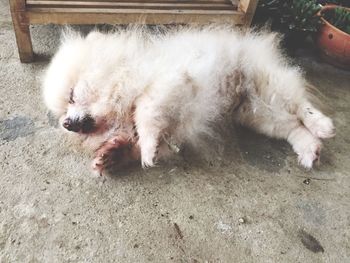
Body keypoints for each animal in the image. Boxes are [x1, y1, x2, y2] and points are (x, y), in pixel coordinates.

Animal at [42, 26, 334, 173]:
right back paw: (310, 150)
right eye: (61, 114)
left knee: (301, 107)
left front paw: (147, 148)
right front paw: (111, 155)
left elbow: (145, 112)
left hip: (268, 85)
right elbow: (137, 141)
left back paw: (322, 126)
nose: (66, 124)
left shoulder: (167, 84)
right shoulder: (172, 129)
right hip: (258, 114)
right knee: (292, 128)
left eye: (71, 96)